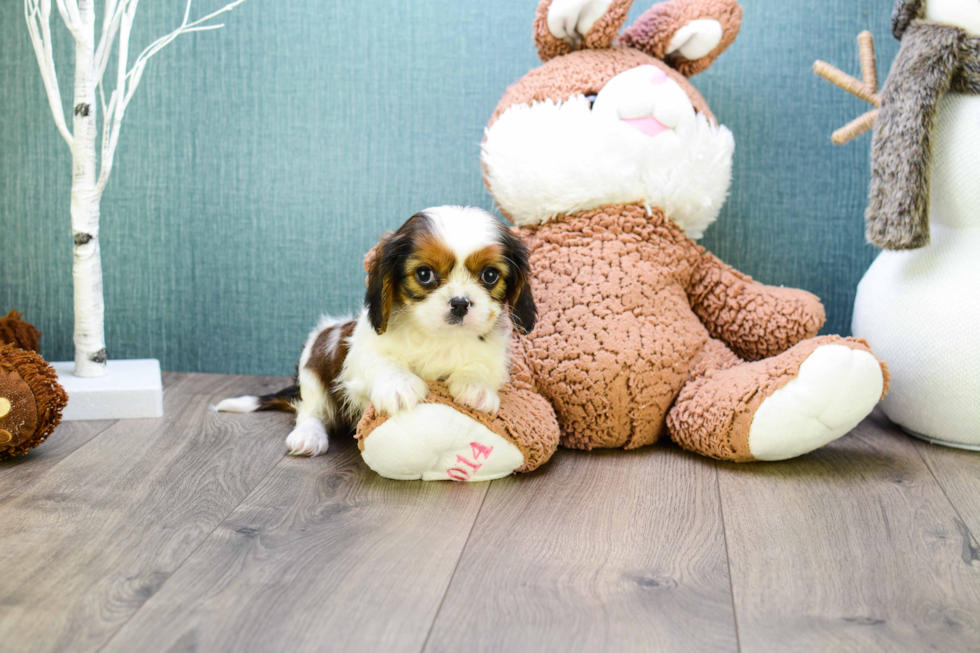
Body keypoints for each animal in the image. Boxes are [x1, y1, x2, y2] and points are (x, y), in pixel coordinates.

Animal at [214, 206, 536, 456]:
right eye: (424, 274)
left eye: (490, 275)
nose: (460, 303)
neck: (437, 336)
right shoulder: (361, 350)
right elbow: (382, 360)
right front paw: (399, 386)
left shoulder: (492, 353)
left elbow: (480, 366)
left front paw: (475, 387)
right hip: (313, 367)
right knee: (310, 410)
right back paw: (308, 436)